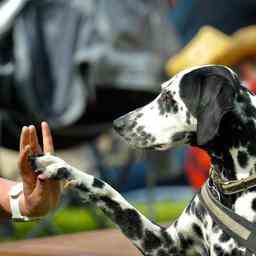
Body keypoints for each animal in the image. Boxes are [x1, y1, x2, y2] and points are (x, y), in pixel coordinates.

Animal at [31, 65, 256, 255]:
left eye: (168, 98)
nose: (117, 124)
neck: (232, 185)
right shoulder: (163, 243)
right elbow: (108, 191)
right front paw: (59, 166)